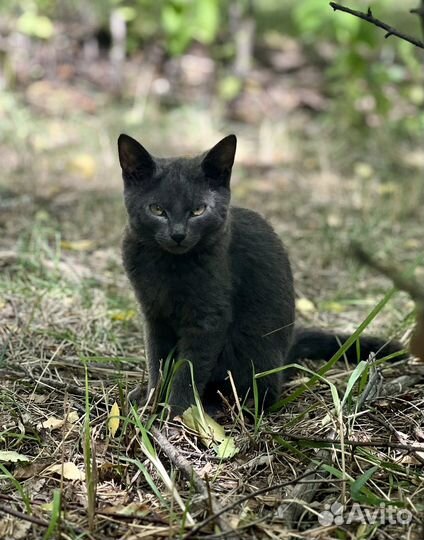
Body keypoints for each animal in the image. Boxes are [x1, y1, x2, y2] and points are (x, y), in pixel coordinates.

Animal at [117, 134, 402, 418]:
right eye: (157, 209)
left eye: (198, 210)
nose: (178, 234)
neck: (168, 266)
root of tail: (285, 354)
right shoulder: (154, 313)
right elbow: (157, 361)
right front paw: (152, 401)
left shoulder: (209, 317)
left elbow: (189, 368)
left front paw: (176, 411)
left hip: (254, 353)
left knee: (264, 394)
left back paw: (219, 405)